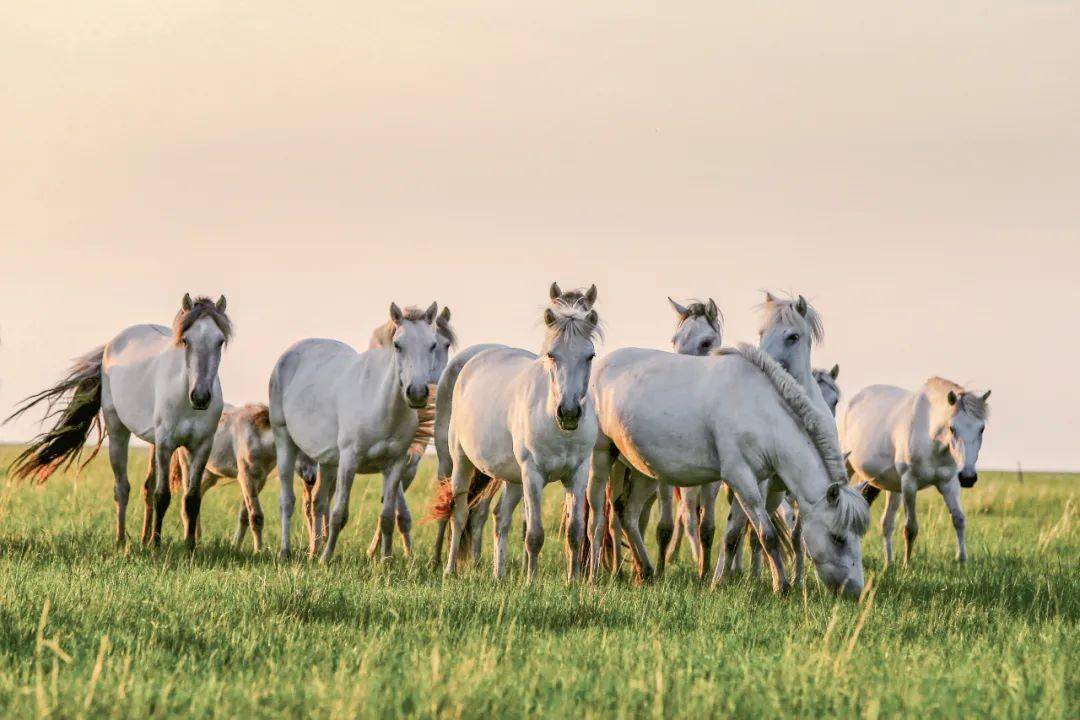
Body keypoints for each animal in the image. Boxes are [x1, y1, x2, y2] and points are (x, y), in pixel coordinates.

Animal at [8, 293, 232, 546]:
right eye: (185, 340)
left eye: (220, 341)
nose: (201, 396)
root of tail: (112, 344)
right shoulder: (166, 444)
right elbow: (163, 496)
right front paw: (157, 547)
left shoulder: (201, 447)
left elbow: (191, 500)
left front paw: (189, 548)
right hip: (118, 432)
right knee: (122, 488)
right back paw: (122, 542)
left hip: (152, 442)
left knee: (147, 488)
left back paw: (143, 540)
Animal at [166, 405, 315, 552]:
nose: (311, 478)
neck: (257, 437)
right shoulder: (246, 477)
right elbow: (256, 517)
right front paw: (258, 551)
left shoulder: (259, 480)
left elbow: (244, 516)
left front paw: (235, 547)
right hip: (188, 466)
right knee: (187, 501)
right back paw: (190, 541)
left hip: (210, 475)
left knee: (197, 497)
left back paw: (198, 540)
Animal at [268, 302, 447, 561]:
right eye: (397, 345)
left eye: (432, 344)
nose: (417, 392)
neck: (381, 406)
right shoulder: (349, 461)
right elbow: (339, 513)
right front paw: (326, 559)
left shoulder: (394, 465)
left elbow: (387, 516)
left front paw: (386, 561)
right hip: (284, 441)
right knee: (287, 500)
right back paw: (286, 551)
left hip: (328, 461)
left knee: (318, 502)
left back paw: (314, 551)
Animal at [583, 343, 868, 595]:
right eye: (838, 538)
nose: (854, 591)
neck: (761, 413)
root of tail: (600, 366)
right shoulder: (739, 476)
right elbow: (768, 535)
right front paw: (782, 586)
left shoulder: (754, 481)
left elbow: (732, 535)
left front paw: (718, 583)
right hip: (602, 456)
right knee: (597, 519)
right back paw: (593, 576)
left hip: (644, 470)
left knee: (628, 514)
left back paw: (645, 571)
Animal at [838, 377, 989, 569]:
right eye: (952, 428)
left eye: (981, 428)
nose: (968, 477)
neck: (930, 438)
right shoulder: (909, 483)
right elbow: (910, 528)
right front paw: (907, 565)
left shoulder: (949, 483)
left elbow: (959, 519)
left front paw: (962, 562)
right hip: (848, 466)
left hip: (892, 486)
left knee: (887, 523)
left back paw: (888, 563)